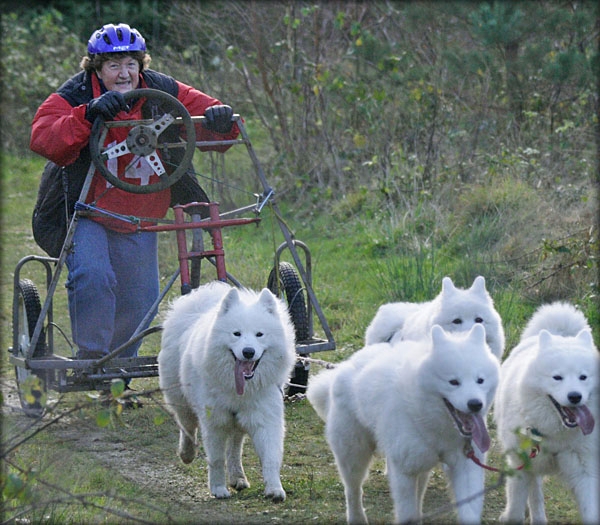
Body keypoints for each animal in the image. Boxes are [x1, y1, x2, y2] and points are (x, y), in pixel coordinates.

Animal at [156, 280, 294, 502]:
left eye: (259, 334)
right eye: (236, 334)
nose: (248, 352)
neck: (238, 390)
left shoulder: (265, 418)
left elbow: (271, 457)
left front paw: (274, 489)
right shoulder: (215, 421)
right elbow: (216, 458)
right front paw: (218, 488)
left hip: (237, 420)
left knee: (235, 446)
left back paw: (238, 477)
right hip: (181, 400)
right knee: (187, 426)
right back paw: (187, 453)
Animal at [308, 324, 500, 524]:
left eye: (480, 380)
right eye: (453, 382)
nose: (475, 404)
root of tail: (345, 366)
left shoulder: (466, 467)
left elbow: (469, 512)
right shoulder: (404, 471)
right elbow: (406, 512)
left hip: (420, 464)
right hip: (353, 454)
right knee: (353, 490)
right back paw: (356, 518)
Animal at [494, 300, 596, 520]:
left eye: (583, 377)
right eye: (557, 377)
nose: (575, 396)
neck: (556, 435)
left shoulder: (585, 471)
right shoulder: (521, 465)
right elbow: (515, 511)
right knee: (535, 491)